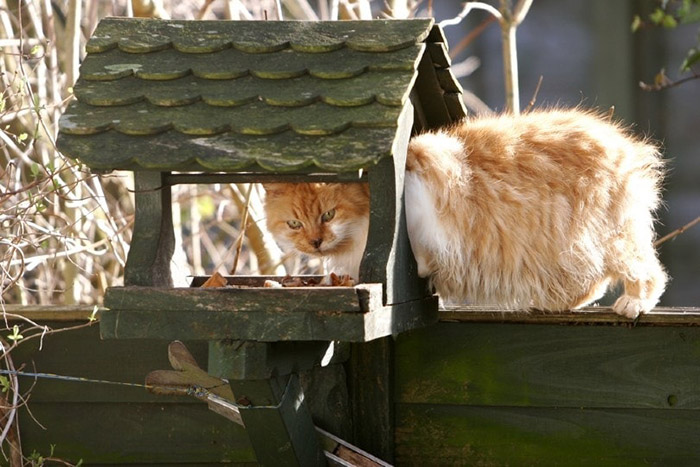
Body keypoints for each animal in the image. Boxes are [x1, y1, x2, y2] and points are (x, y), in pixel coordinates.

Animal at [262, 108, 668, 320]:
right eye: (295, 224)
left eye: (329, 215)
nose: (315, 243)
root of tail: (624, 144)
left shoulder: (431, 182)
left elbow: (426, 249)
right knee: (590, 283)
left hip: (608, 237)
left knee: (647, 272)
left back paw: (633, 304)